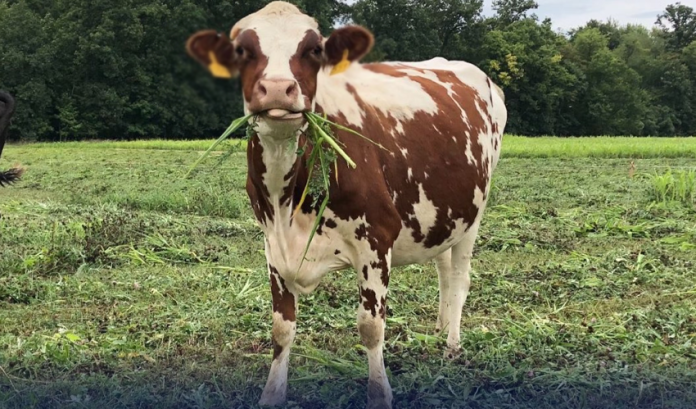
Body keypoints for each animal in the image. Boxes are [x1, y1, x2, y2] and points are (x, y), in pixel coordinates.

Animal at [186, 2, 506, 408]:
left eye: (314, 49)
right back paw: (439, 326)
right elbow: (281, 328)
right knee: (444, 272)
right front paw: (272, 394)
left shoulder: (376, 239)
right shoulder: (272, 244)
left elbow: (371, 327)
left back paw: (452, 345)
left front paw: (379, 394)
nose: (276, 89)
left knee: (460, 278)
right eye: (242, 50)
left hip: (474, 213)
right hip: (442, 214)